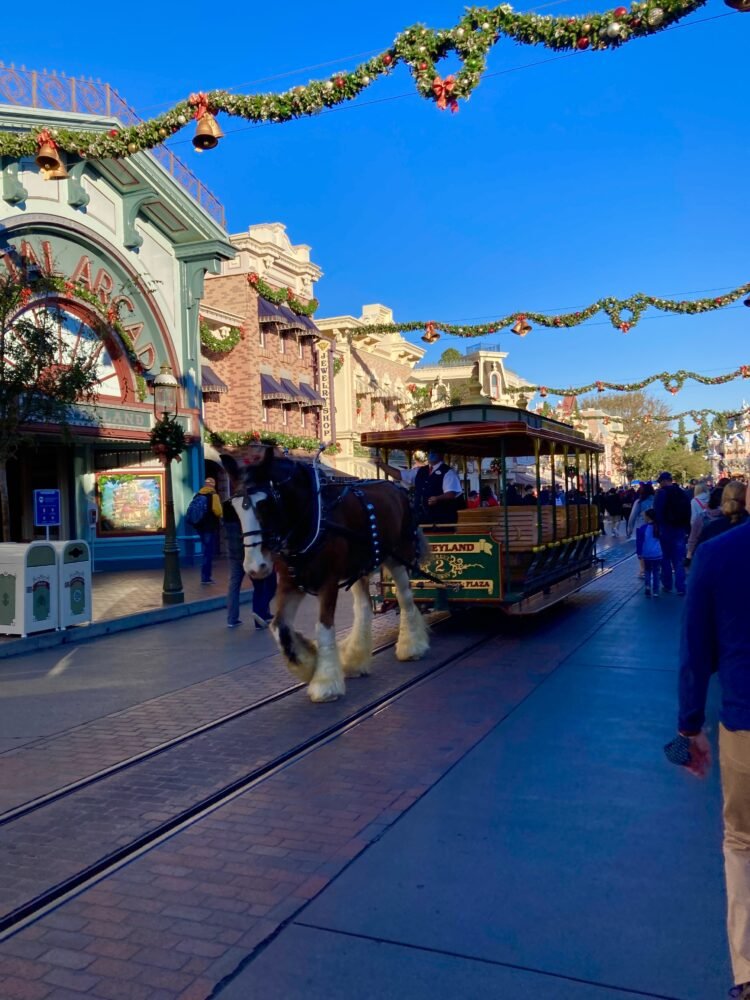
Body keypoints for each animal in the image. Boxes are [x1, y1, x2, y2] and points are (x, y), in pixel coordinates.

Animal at [228, 450, 428, 700]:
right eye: (234, 507)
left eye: (265, 505)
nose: (255, 567)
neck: (310, 519)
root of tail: (397, 488)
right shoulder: (289, 582)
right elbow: (279, 627)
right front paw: (307, 665)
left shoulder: (328, 581)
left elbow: (323, 629)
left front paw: (325, 683)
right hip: (360, 566)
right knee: (364, 608)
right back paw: (355, 660)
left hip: (398, 558)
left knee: (405, 597)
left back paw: (412, 647)